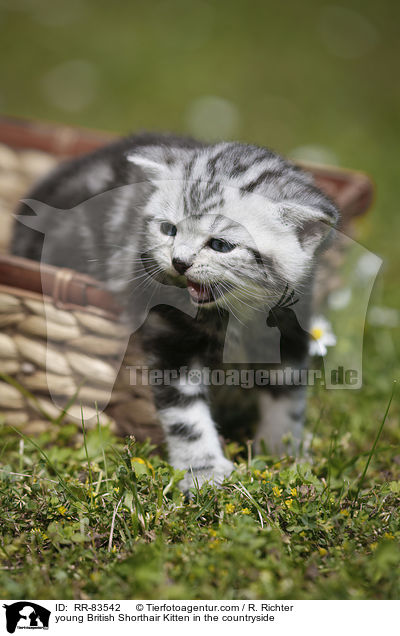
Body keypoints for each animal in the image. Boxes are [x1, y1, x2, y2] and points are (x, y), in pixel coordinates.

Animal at [10, 133, 340, 492]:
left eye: (220, 245)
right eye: (169, 229)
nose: (179, 262)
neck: (234, 314)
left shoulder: (288, 328)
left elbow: (288, 398)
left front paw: (285, 453)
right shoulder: (172, 336)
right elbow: (186, 415)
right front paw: (203, 471)